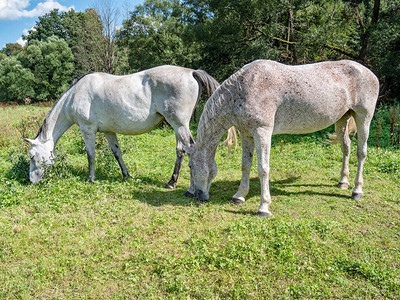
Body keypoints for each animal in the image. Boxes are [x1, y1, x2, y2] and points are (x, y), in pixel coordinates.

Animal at [25, 64, 219, 191]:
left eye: (32, 156)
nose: (31, 182)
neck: (75, 95)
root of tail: (191, 72)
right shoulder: (109, 132)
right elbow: (117, 153)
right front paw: (126, 175)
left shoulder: (87, 130)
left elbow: (90, 155)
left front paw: (91, 179)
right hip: (178, 126)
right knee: (181, 151)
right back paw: (172, 182)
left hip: (179, 125)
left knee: (191, 149)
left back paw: (191, 187)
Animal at [186, 59, 380, 218]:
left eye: (190, 166)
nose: (198, 196)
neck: (243, 88)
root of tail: (370, 73)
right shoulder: (246, 133)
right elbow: (245, 165)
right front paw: (239, 196)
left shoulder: (262, 131)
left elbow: (263, 169)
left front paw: (263, 207)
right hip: (342, 119)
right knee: (346, 147)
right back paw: (343, 182)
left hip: (363, 117)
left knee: (361, 152)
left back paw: (357, 191)